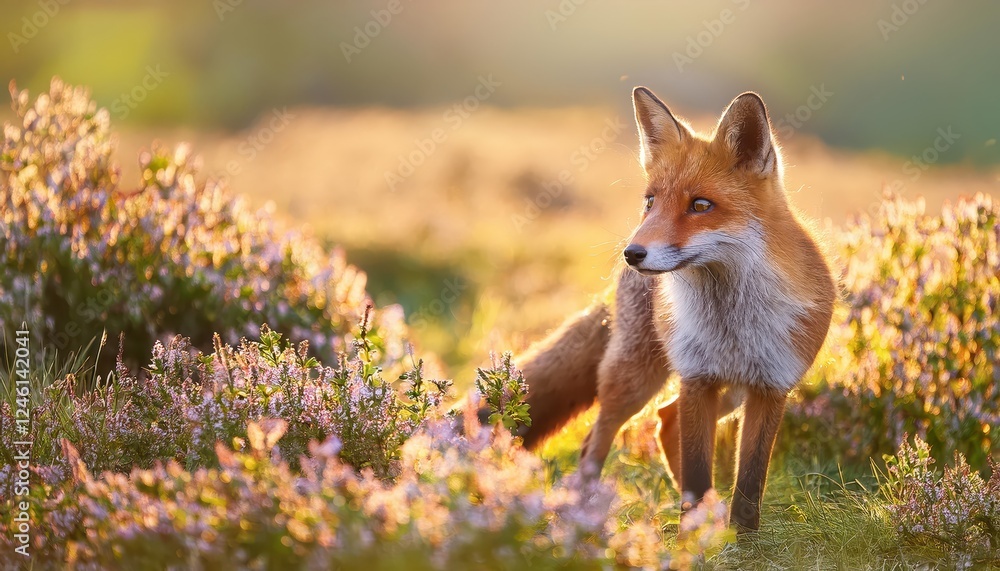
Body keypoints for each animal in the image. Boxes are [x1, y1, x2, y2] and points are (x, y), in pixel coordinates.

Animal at [510, 87, 836, 533]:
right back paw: (586, 513)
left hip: (727, 394)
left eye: (700, 205)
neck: (731, 325)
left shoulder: (770, 387)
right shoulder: (697, 379)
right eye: (650, 201)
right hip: (634, 378)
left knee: (665, 421)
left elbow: (750, 485)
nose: (632, 253)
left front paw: (741, 538)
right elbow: (697, 473)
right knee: (596, 440)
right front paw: (694, 538)